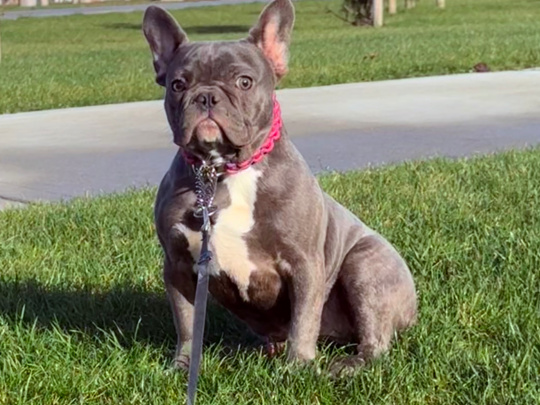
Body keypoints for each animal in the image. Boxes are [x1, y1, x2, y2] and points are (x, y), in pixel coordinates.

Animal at [141, 0, 416, 374]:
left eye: (244, 82)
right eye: (178, 85)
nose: (207, 96)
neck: (224, 171)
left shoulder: (304, 263)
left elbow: (303, 318)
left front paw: (297, 367)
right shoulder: (179, 267)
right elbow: (186, 321)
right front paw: (183, 365)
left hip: (365, 268)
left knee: (375, 340)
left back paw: (346, 365)